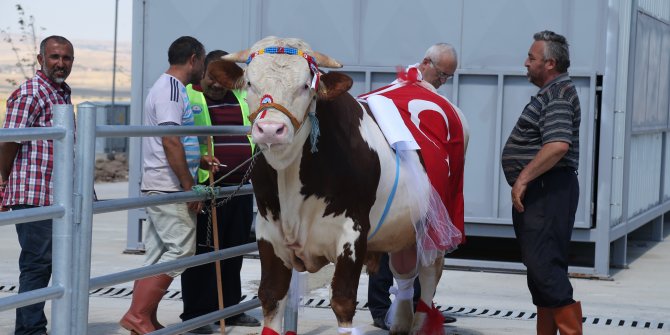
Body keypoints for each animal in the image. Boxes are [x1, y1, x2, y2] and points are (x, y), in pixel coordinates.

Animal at [213, 35, 470, 334]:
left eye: (305, 85)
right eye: (250, 83)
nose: (270, 130)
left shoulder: (353, 234)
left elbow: (343, 301)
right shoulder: (268, 233)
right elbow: (270, 294)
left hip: (438, 224)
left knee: (429, 277)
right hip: (403, 227)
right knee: (405, 274)